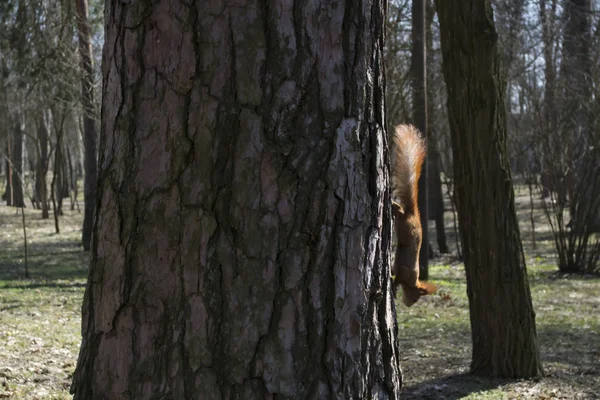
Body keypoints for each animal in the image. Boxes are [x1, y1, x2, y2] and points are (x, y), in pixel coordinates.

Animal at [390, 124, 436, 306]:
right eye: (416, 297)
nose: (409, 304)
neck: (413, 280)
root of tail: (414, 213)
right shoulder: (406, 271)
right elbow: (399, 275)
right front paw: (394, 286)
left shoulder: (400, 268)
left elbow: (394, 270)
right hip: (407, 227)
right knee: (402, 212)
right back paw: (394, 205)